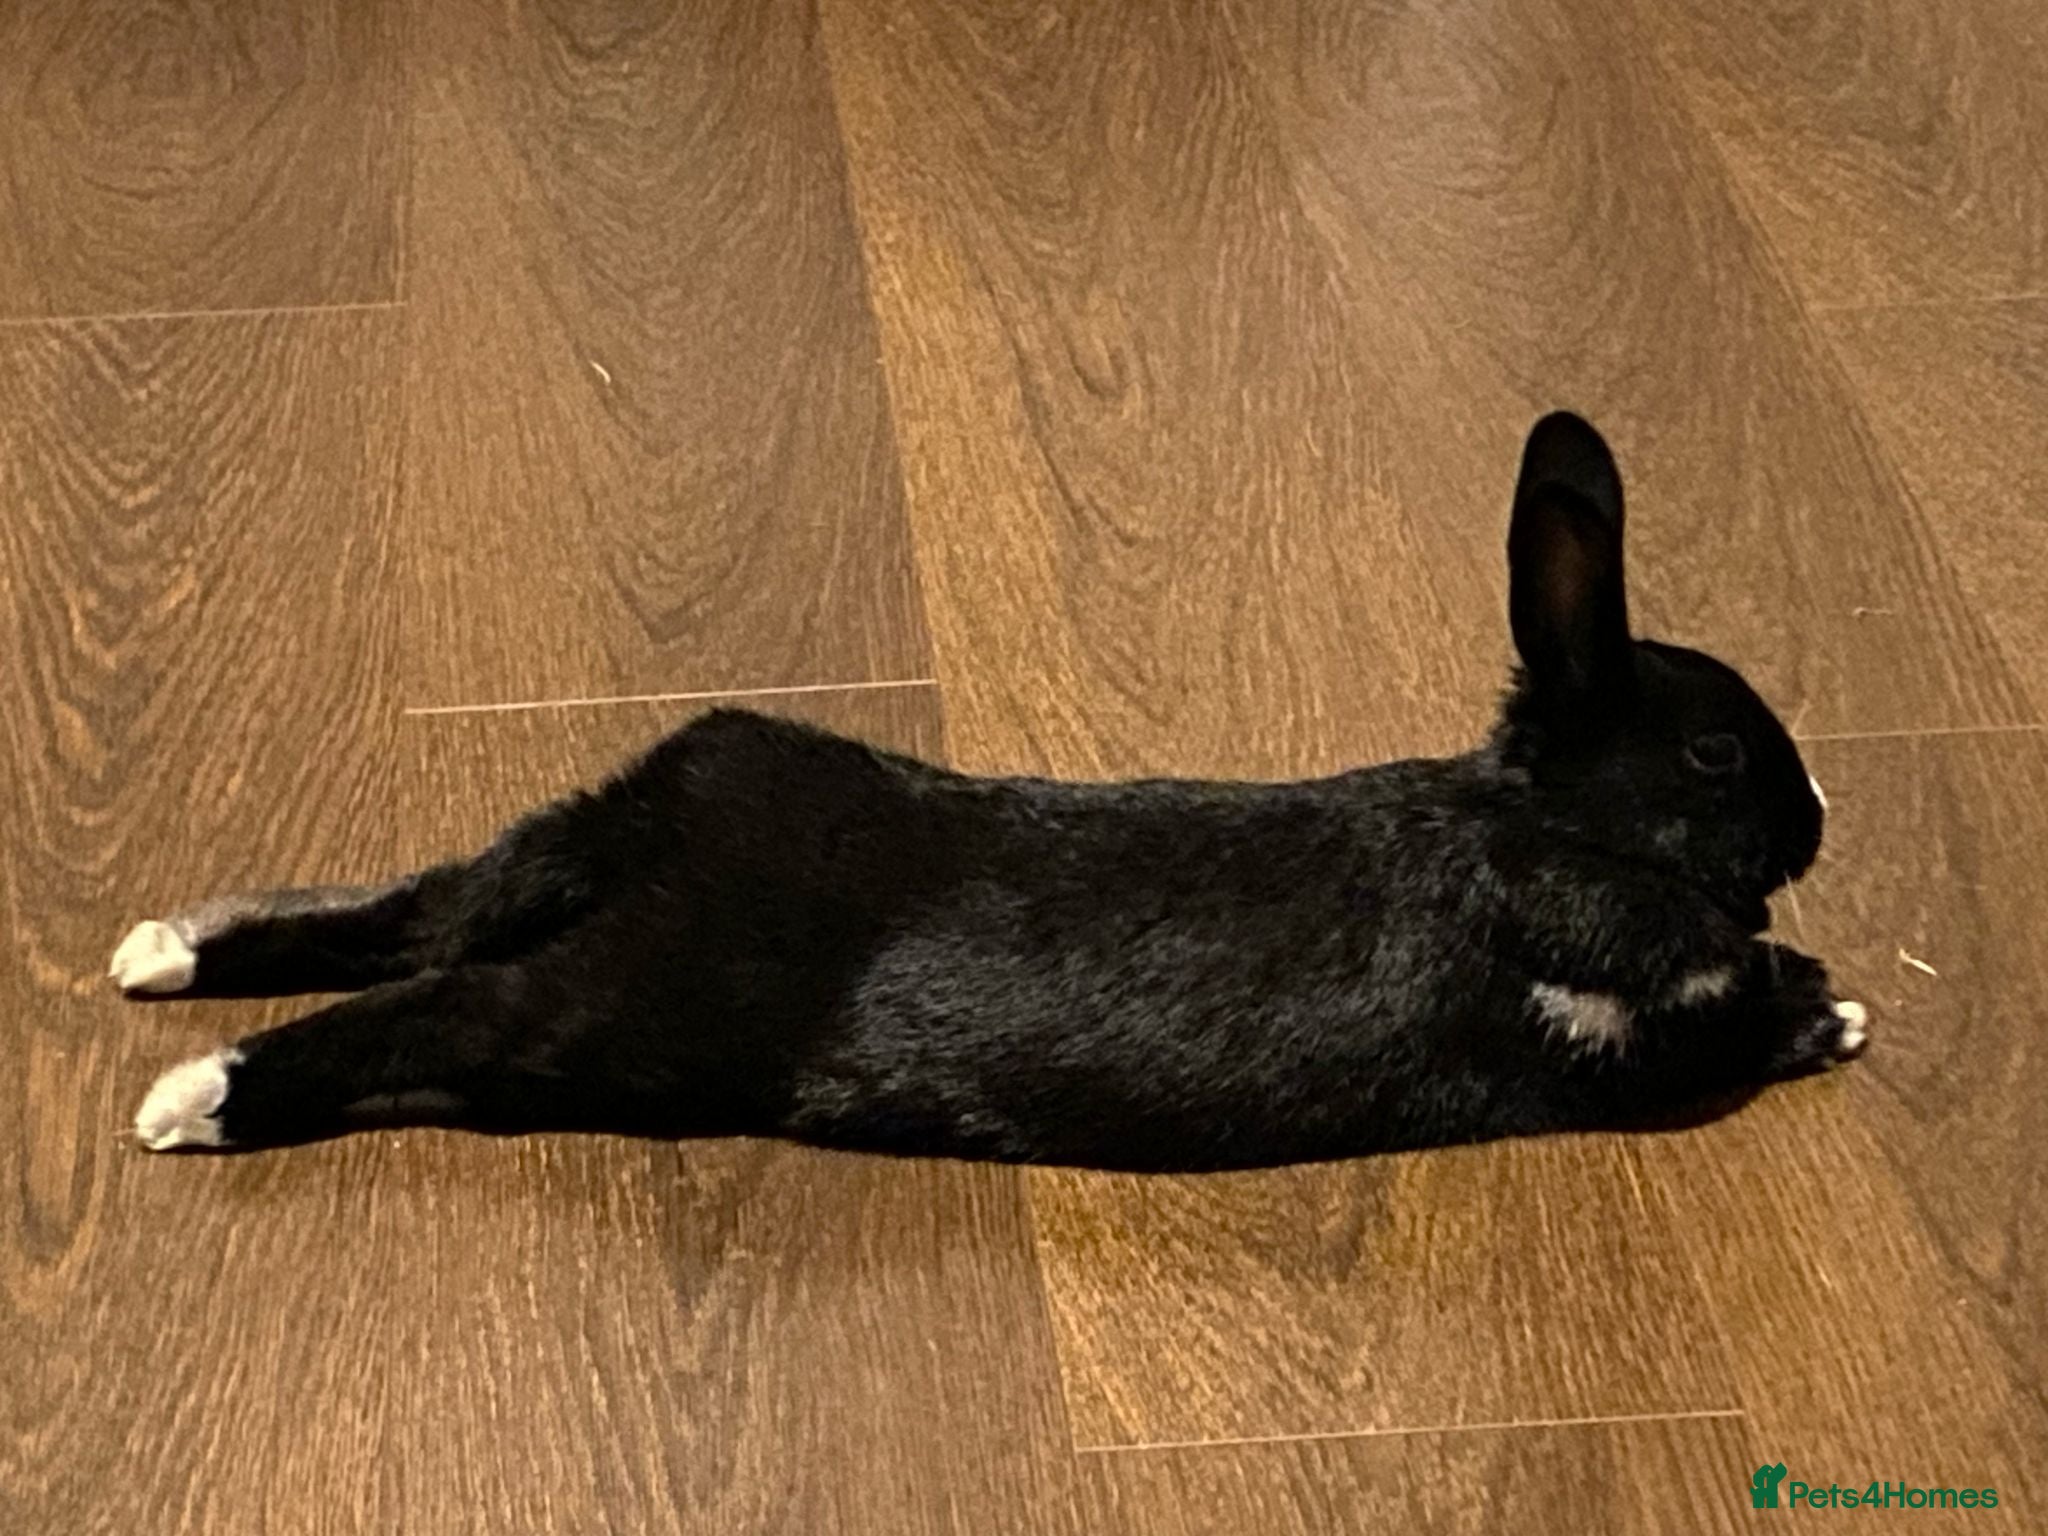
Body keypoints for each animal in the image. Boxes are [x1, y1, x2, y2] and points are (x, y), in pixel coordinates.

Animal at [115, 412, 1866, 1172]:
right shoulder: (1608, 1031)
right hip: (632, 1016)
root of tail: (670, 834)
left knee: (415, 915)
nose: (1818, 821)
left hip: (569, 860)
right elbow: (1720, 1031)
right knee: (438, 1006)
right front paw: (1829, 1008)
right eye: (1719, 754)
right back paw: (193, 1098)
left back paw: (160, 957)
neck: (1537, 824)